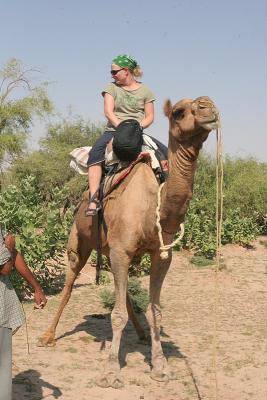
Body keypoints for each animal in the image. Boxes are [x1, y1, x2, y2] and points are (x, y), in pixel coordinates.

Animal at [39, 96, 220, 388]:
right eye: (179, 111)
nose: (208, 107)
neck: (151, 208)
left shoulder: (159, 255)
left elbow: (154, 310)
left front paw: (161, 367)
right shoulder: (121, 252)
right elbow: (117, 314)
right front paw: (111, 372)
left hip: (111, 251)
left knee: (121, 294)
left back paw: (142, 334)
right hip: (79, 240)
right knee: (68, 285)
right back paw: (47, 336)